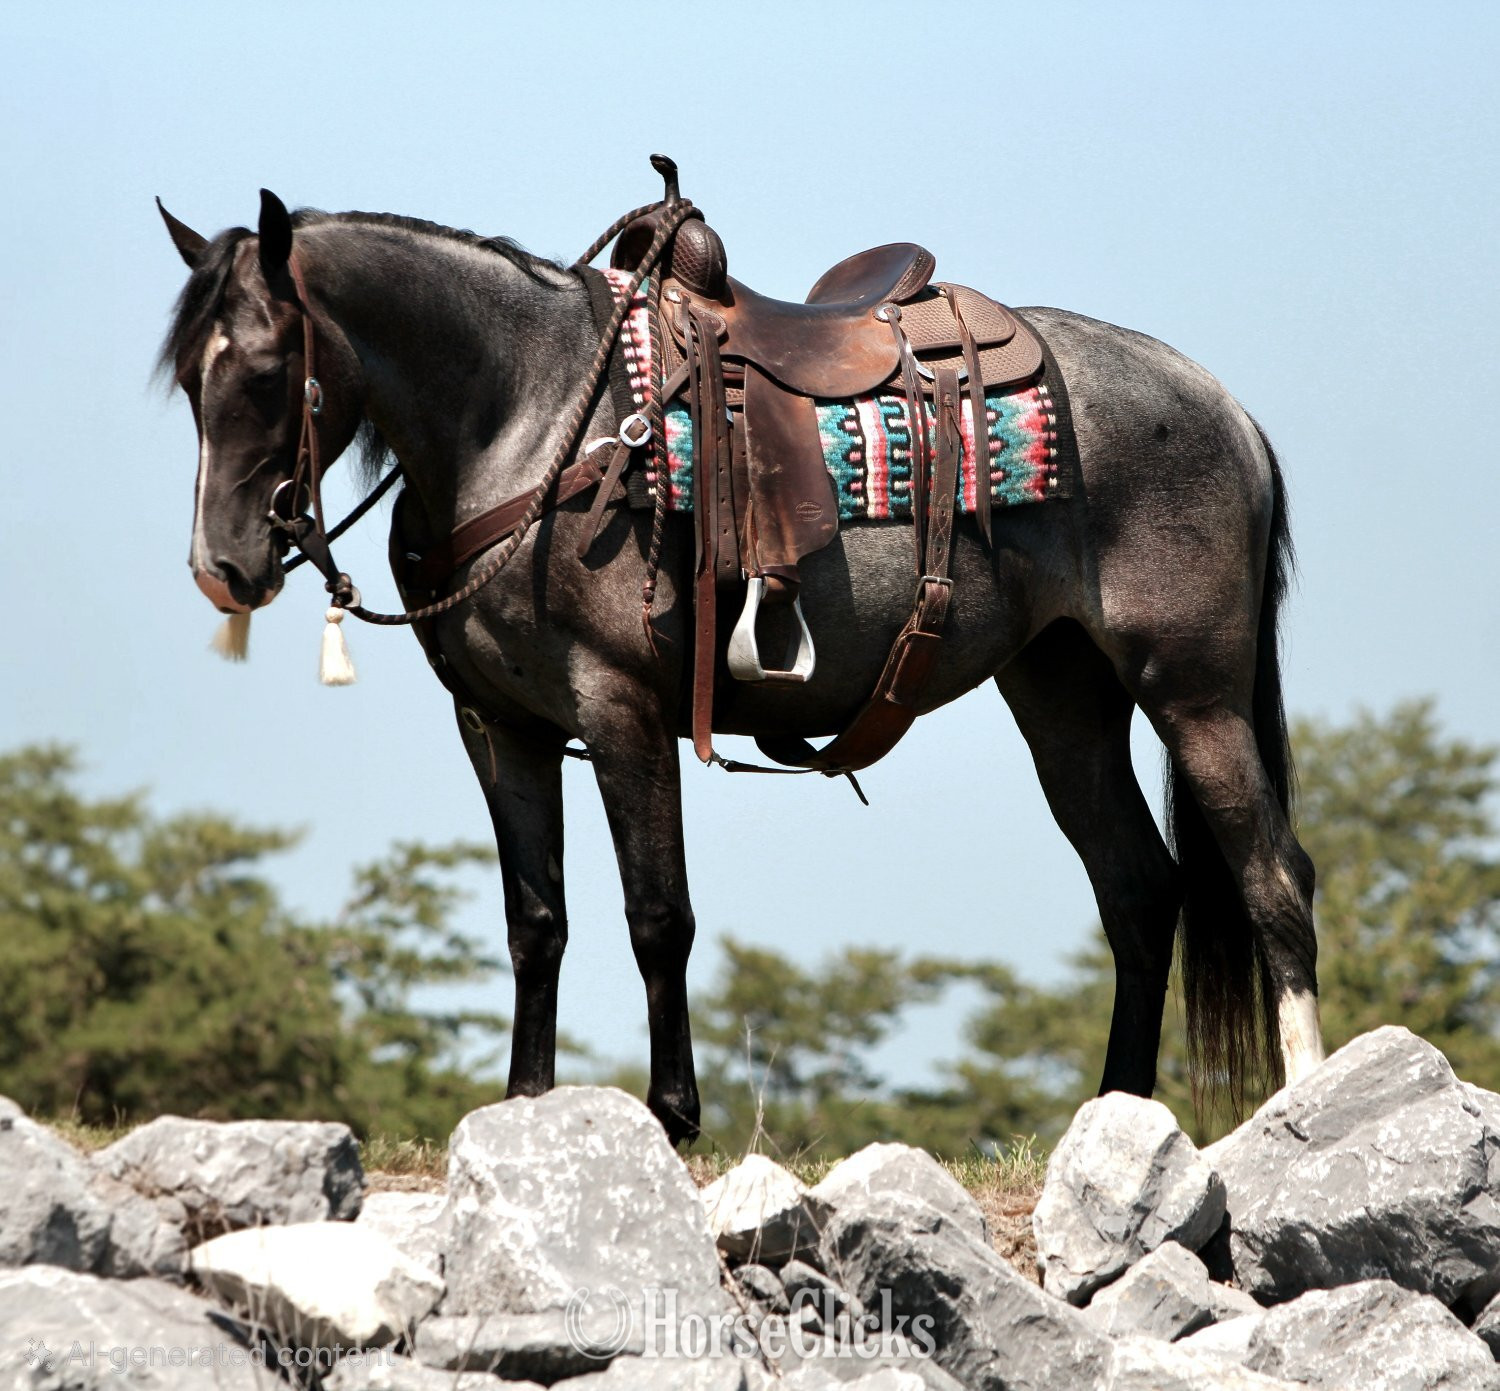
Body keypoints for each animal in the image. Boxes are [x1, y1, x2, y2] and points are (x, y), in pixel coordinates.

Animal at [156, 180, 1324, 1145]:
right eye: (188, 383)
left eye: (268, 370)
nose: (223, 567)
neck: (530, 419)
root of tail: (1224, 405)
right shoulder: (502, 726)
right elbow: (537, 920)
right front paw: (526, 1106)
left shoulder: (619, 710)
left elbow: (656, 915)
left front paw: (674, 1117)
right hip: (1064, 697)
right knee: (1139, 890)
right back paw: (1118, 1110)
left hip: (1195, 694)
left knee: (1272, 877)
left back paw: (1303, 1101)